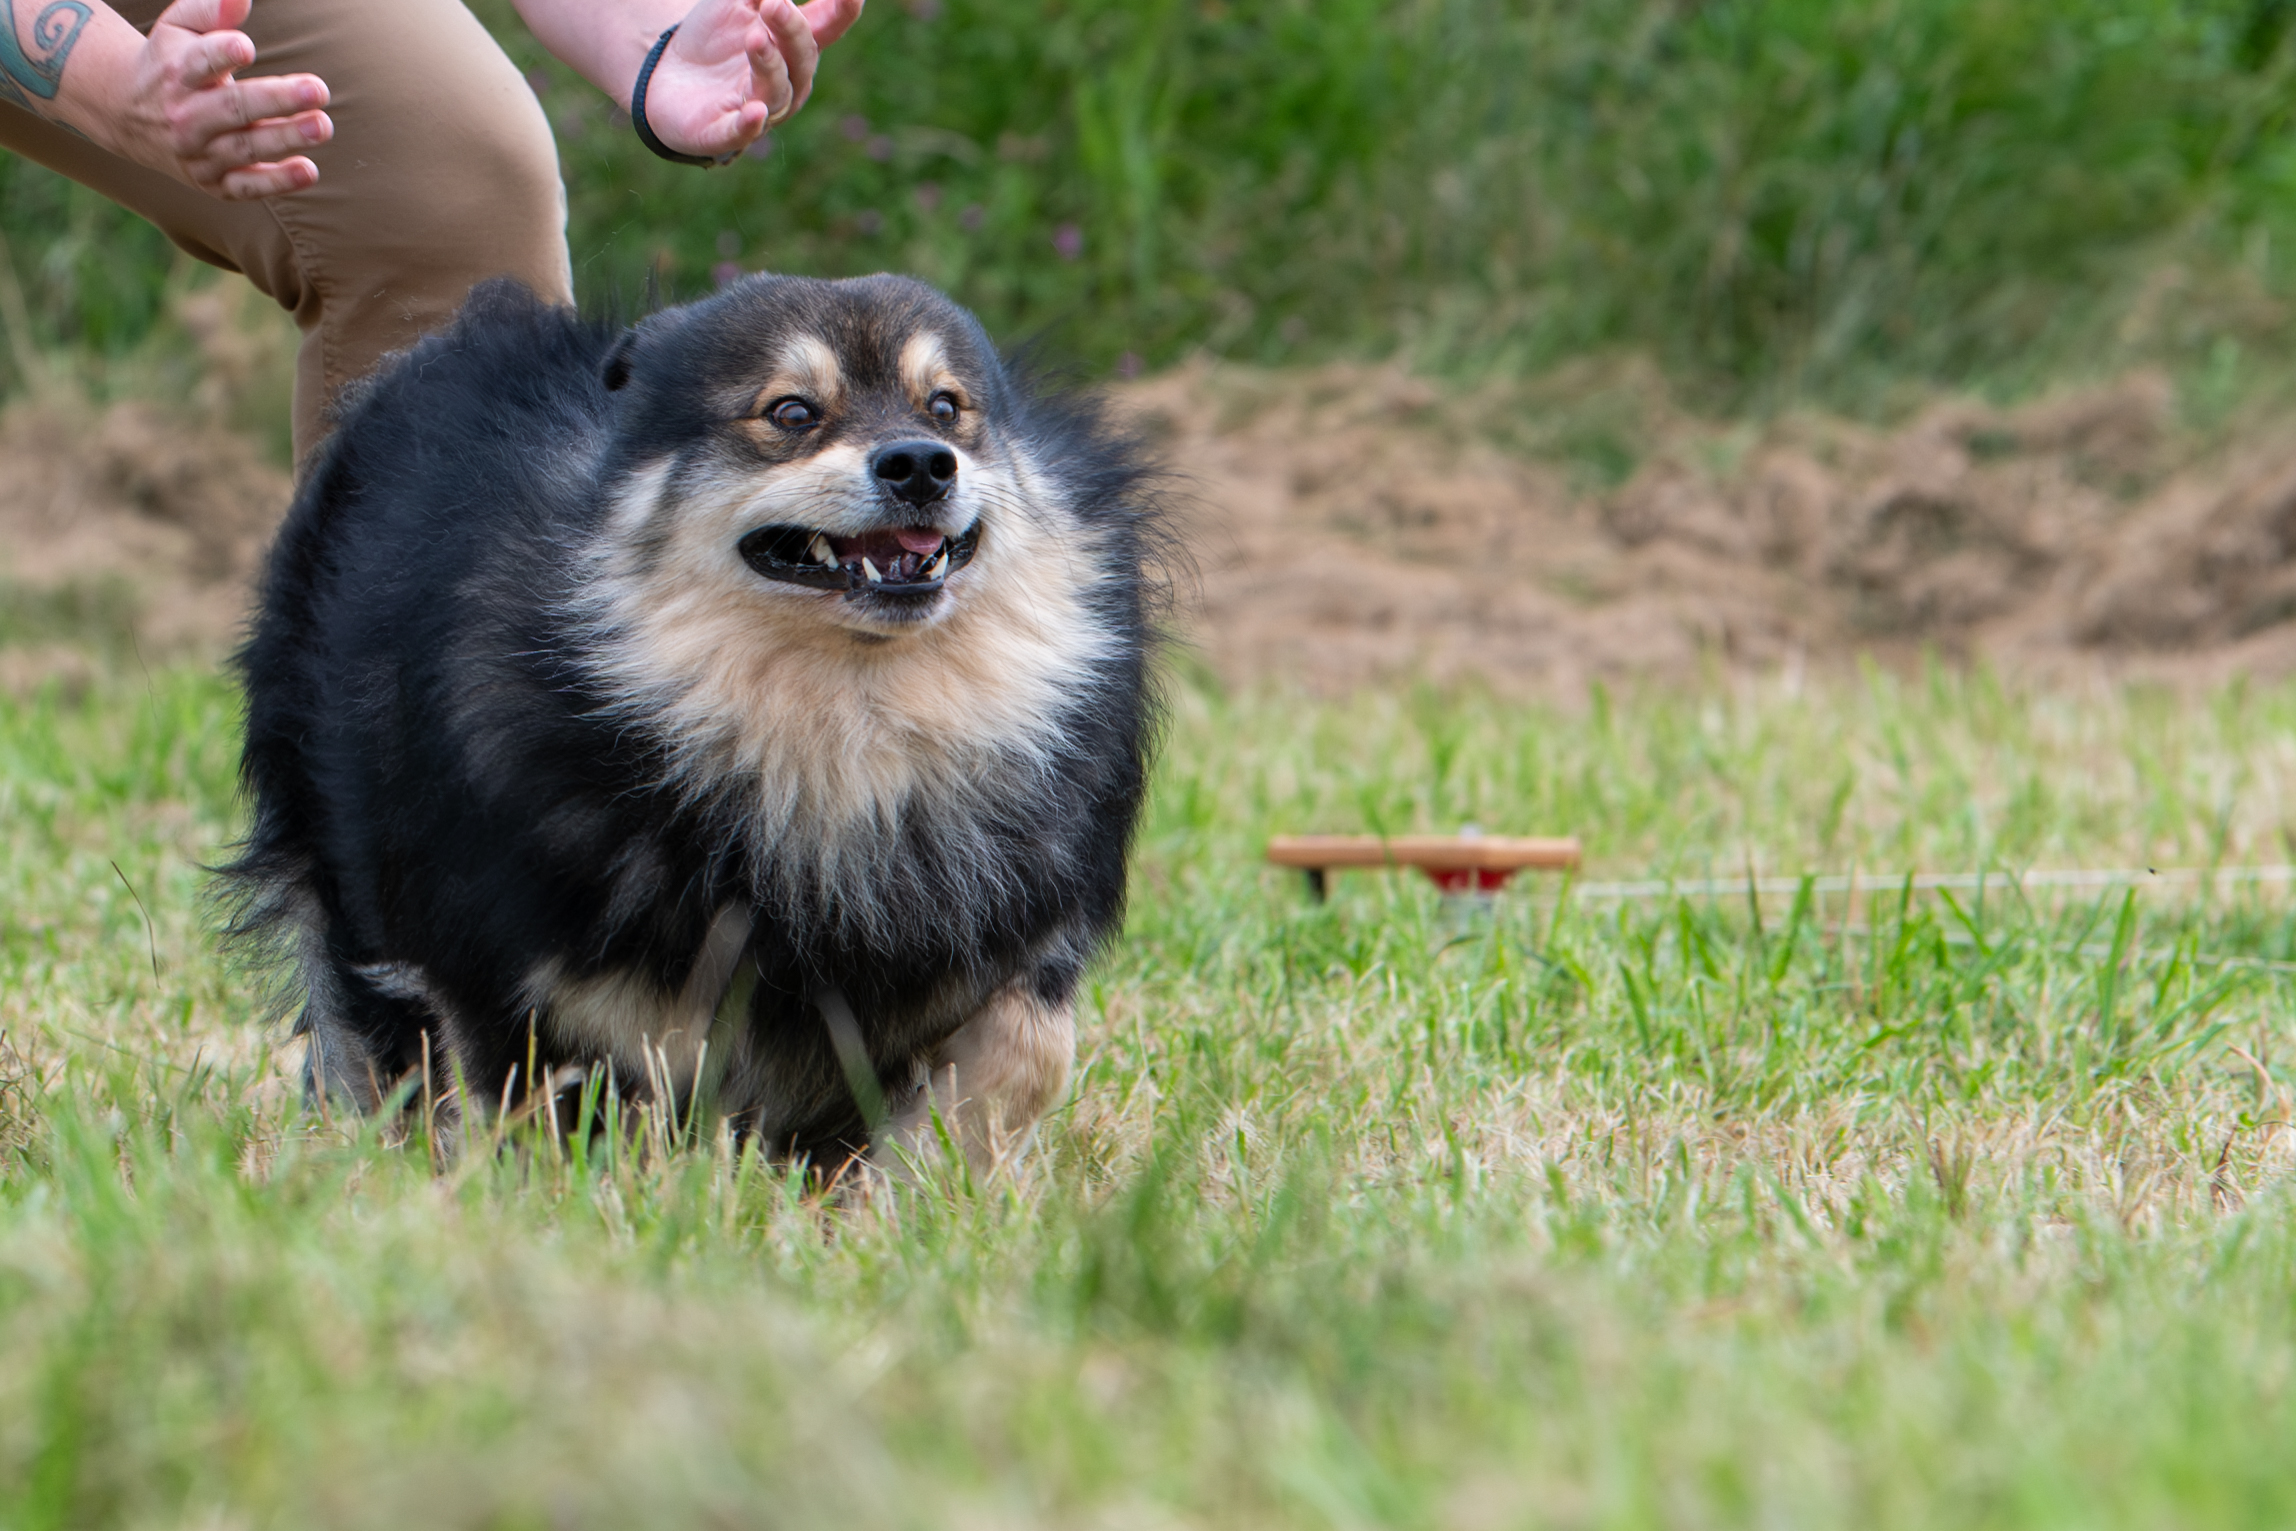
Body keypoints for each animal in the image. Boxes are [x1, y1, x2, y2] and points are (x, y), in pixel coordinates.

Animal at [225, 274, 1162, 1173]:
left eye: (946, 407)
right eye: (791, 412)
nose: (923, 465)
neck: (844, 722)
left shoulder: (1008, 937)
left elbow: (1032, 1049)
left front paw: (911, 1190)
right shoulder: (497, 958)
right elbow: (548, 1095)